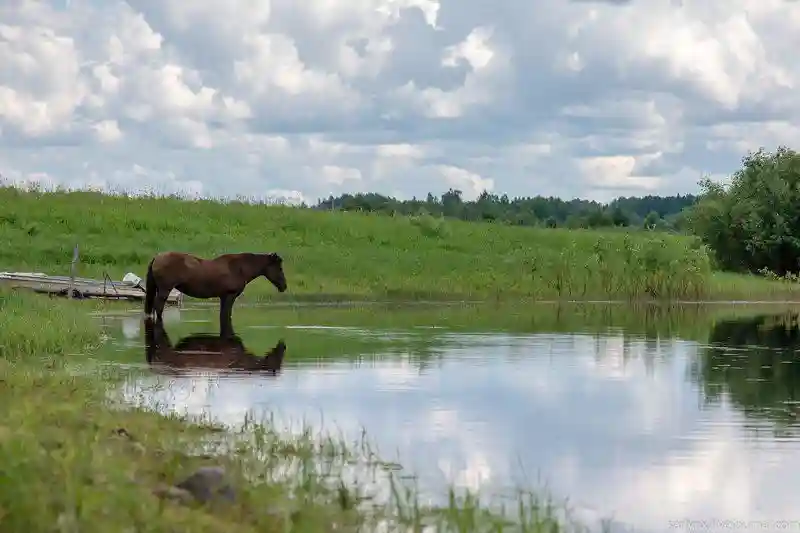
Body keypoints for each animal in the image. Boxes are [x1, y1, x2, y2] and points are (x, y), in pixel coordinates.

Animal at [144, 250, 288, 328]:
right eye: (280, 268)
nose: (284, 286)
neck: (240, 268)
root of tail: (157, 257)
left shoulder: (223, 297)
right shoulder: (229, 296)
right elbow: (226, 315)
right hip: (164, 290)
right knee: (158, 307)